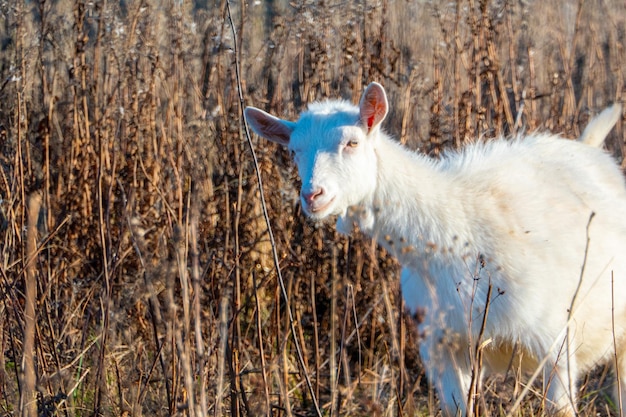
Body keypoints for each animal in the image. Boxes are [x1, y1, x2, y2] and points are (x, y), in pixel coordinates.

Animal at [244, 83, 624, 414]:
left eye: (352, 142)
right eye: (294, 151)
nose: (313, 196)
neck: (457, 232)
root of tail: (590, 147)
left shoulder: (554, 340)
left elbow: (561, 408)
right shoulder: (441, 349)